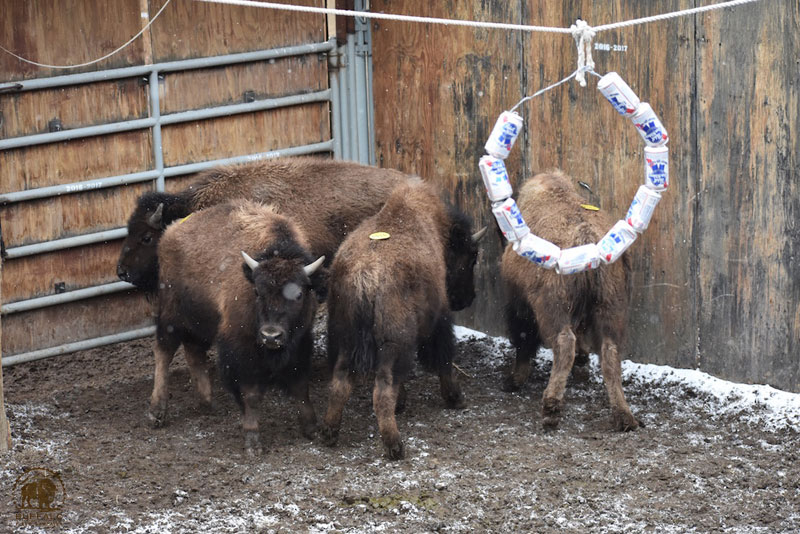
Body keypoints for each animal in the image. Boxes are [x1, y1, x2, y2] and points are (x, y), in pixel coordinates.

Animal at [153, 199, 326, 454]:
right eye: (257, 292)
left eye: (299, 294)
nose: (271, 336)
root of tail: (170, 233)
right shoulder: (241, 350)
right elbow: (250, 394)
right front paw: (253, 440)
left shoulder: (300, 343)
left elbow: (300, 386)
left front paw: (311, 428)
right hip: (171, 317)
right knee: (163, 353)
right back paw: (157, 412)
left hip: (200, 323)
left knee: (194, 353)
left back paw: (206, 403)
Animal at [320, 180, 486, 459]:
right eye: (471, 255)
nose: (468, 298)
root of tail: (365, 274)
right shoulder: (439, 319)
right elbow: (443, 358)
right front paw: (456, 398)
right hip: (395, 343)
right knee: (382, 390)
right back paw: (395, 446)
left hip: (345, 339)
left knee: (339, 384)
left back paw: (329, 434)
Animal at [500, 170, 639, 431]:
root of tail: (587, 238)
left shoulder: (520, 303)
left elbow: (524, 339)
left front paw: (514, 380)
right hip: (610, 308)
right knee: (610, 353)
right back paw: (624, 416)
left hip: (553, 310)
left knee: (565, 343)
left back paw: (551, 408)